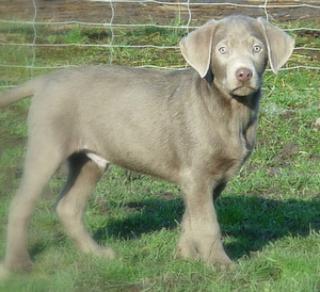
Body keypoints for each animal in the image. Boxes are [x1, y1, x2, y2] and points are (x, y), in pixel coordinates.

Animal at [0, 14, 294, 274]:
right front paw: (221, 265)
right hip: (47, 146)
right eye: (222, 50)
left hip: (90, 160)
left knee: (68, 207)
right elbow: (208, 223)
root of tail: (46, 79)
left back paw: (96, 253)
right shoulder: (197, 175)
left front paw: (186, 256)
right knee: (20, 205)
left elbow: (192, 219)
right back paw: (18, 264)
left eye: (257, 48)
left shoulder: (214, 178)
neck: (231, 110)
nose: (243, 74)